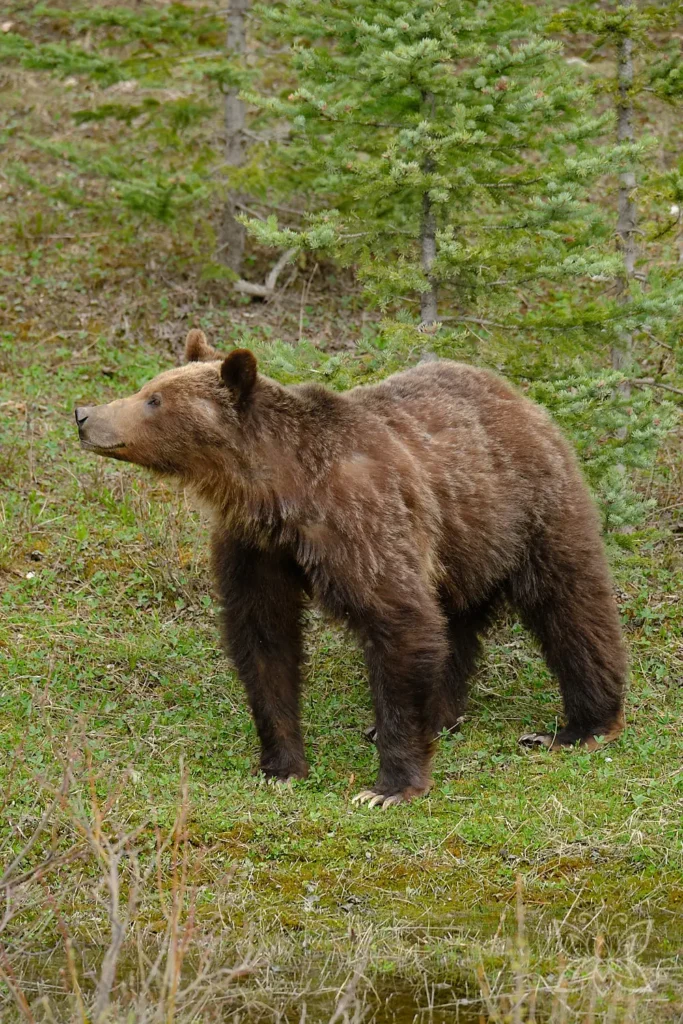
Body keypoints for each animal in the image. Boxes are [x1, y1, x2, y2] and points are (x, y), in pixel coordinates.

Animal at [75, 328, 627, 808]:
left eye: (154, 399)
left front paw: (388, 785)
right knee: (454, 624)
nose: (83, 414)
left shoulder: (363, 525)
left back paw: (582, 725)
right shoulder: (255, 550)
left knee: (570, 604)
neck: (280, 497)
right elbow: (264, 642)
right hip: (462, 542)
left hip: (530, 508)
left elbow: (399, 624)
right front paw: (281, 766)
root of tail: (518, 395)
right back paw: (441, 716)